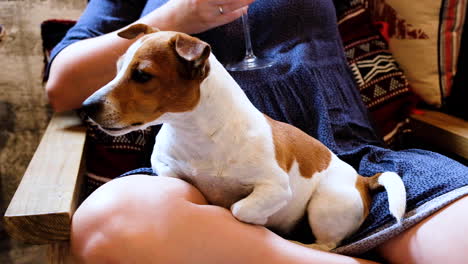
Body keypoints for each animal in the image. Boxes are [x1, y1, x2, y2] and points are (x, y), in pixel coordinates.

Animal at [81, 23, 406, 251]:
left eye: (142, 75)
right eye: (117, 68)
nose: (86, 106)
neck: (197, 133)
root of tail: (362, 179)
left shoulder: (275, 188)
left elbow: (239, 208)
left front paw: (258, 220)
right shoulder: (165, 166)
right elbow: (176, 176)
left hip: (325, 205)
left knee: (326, 246)